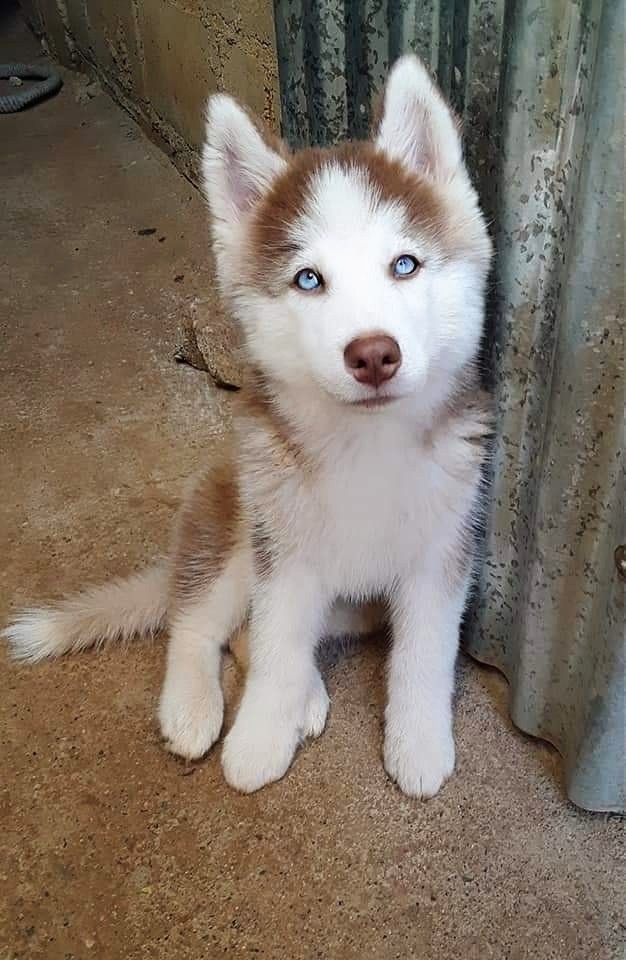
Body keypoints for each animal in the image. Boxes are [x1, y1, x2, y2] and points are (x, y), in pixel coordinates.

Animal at [4, 56, 492, 800]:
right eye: (308, 279)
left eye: (404, 265)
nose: (373, 355)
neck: (366, 447)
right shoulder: (283, 559)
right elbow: (276, 647)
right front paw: (259, 738)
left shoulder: (441, 552)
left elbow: (423, 653)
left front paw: (418, 743)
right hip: (240, 525)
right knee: (200, 623)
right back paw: (196, 707)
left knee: (254, 632)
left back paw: (309, 696)